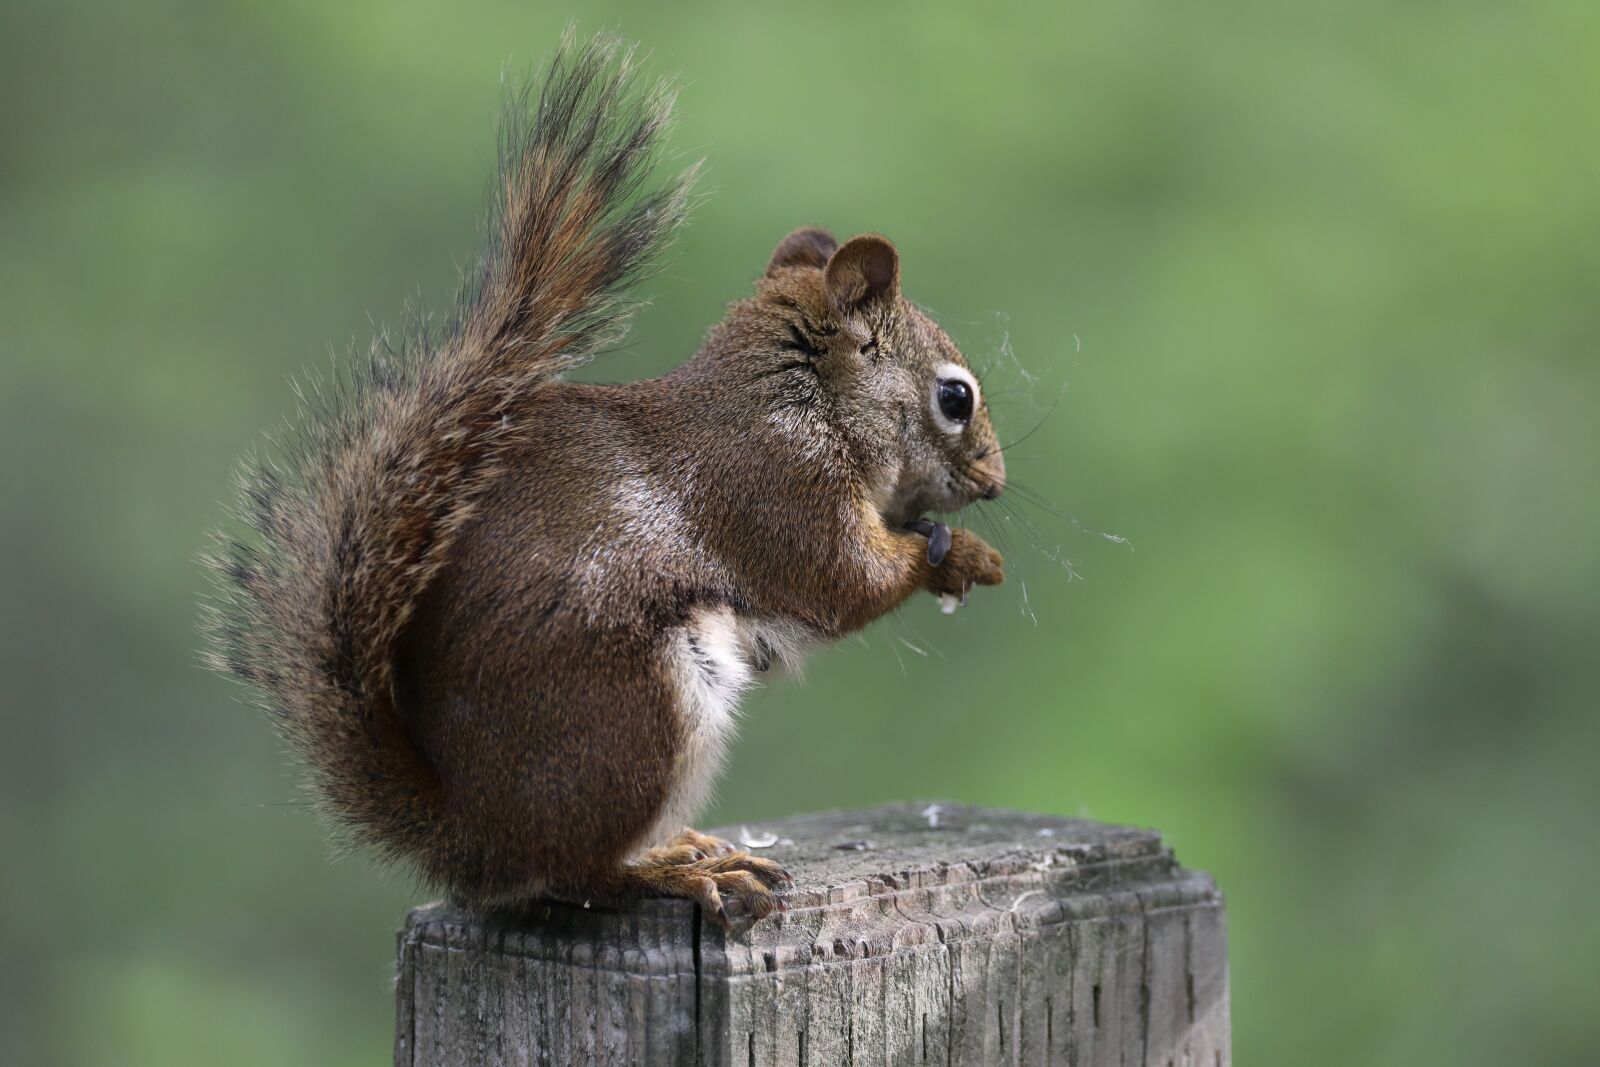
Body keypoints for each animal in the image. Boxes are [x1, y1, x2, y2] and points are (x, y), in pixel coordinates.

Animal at [205, 35, 1006, 932]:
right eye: (954, 398)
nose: (995, 481)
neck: (798, 400)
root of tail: (470, 836)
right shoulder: (777, 489)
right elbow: (846, 581)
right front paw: (965, 555)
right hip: (640, 707)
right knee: (575, 871)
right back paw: (676, 870)